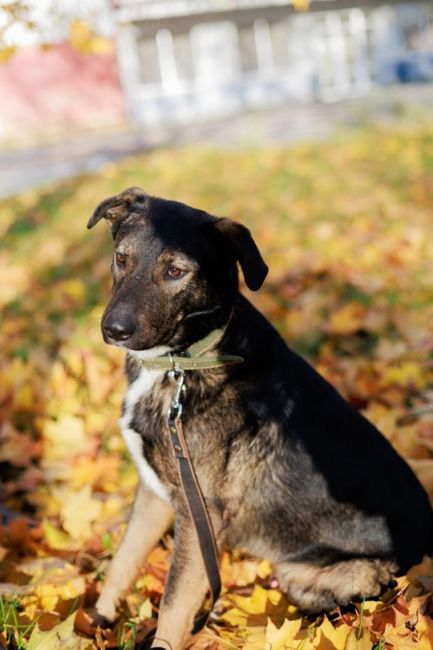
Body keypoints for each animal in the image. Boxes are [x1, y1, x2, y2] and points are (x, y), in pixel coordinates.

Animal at [87, 185, 432, 644]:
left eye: (176, 272)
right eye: (121, 258)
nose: (113, 330)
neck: (182, 365)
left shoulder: (201, 515)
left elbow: (173, 605)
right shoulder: (156, 494)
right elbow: (122, 562)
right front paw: (95, 623)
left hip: (318, 573)